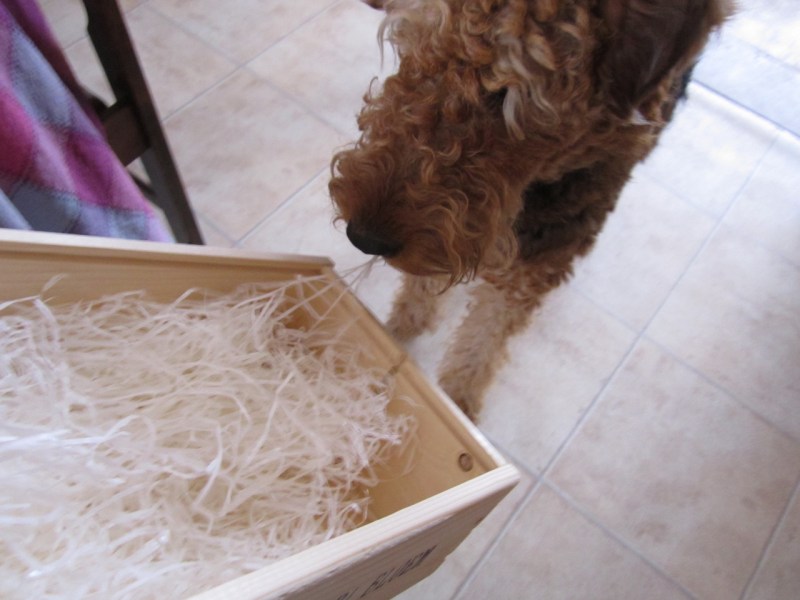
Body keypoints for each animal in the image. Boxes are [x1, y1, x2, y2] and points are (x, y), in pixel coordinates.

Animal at [330, 0, 733, 420]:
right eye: (407, 45)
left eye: (506, 93)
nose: (362, 237)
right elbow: (421, 290)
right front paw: (394, 332)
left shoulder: (537, 258)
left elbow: (482, 342)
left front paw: (457, 402)